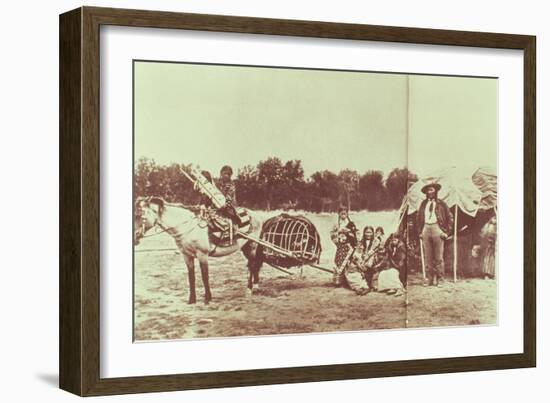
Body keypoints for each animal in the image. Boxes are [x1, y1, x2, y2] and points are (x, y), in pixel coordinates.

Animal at [134, 197, 264, 304]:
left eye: (139, 215)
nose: (134, 238)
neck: (187, 228)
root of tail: (256, 215)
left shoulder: (202, 255)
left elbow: (204, 276)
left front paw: (207, 298)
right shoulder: (187, 256)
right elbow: (191, 277)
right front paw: (192, 300)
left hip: (252, 245)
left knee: (252, 266)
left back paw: (249, 289)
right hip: (245, 247)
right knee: (252, 265)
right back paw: (254, 286)